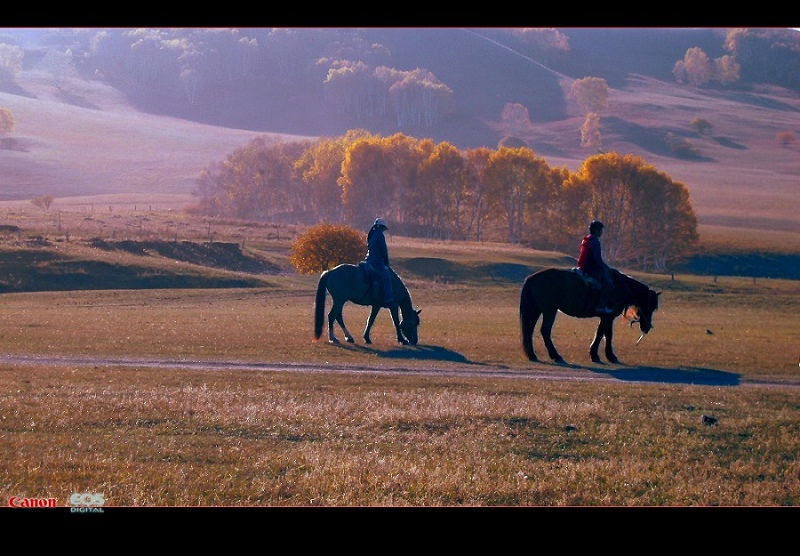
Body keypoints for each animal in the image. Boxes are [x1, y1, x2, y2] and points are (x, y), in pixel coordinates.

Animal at [520, 268, 664, 364]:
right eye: (650, 305)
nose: (647, 327)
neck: (619, 287)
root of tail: (531, 279)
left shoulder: (608, 317)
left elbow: (608, 335)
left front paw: (610, 356)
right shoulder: (607, 317)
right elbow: (600, 334)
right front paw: (594, 354)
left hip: (537, 310)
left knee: (529, 330)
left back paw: (532, 354)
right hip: (549, 310)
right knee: (545, 331)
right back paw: (556, 356)